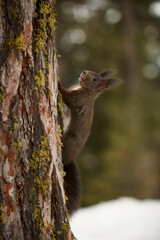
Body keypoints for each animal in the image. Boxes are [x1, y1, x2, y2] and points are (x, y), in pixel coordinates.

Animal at [58, 69, 122, 216]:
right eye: (92, 73)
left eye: (94, 79)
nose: (84, 72)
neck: (85, 89)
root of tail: (71, 159)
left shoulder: (80, 99)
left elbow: (69, 98)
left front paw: (58, 84)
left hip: (70, 141)